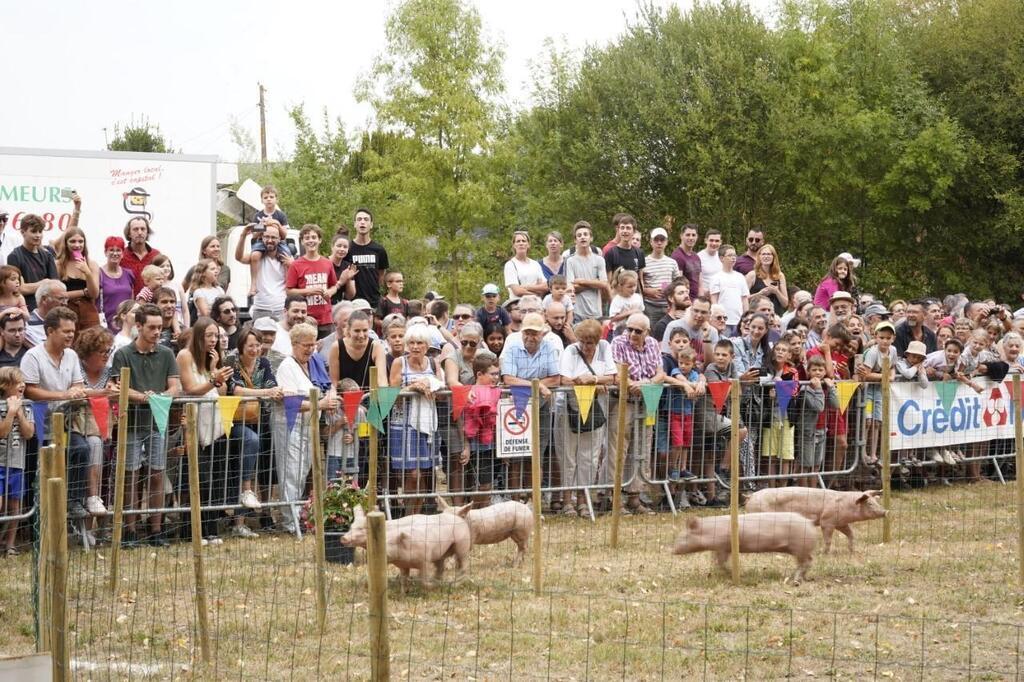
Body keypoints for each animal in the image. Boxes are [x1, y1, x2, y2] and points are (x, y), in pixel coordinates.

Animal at [671, 512, 815, 581]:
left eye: (683, 537)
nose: (672, 551)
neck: (710, 531)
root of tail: (809, 522)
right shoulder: (718, 548)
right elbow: (715, 561)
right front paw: (712, 573)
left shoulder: (723, 546)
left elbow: (721, 562)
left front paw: (734, 573)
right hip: (802, 549)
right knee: (810, 561)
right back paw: (803, 578)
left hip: (800, 547)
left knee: (805, 563)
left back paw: (795, 580)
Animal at [745, 483, 888, 552]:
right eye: (869, 504)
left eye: (876, 501)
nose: (886, 511)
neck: (846, 504)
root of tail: (751, 496)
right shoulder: (827, 521)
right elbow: (828, 539)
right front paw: (824, 553)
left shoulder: (840, 523)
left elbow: (851, 534)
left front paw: (852, 551)